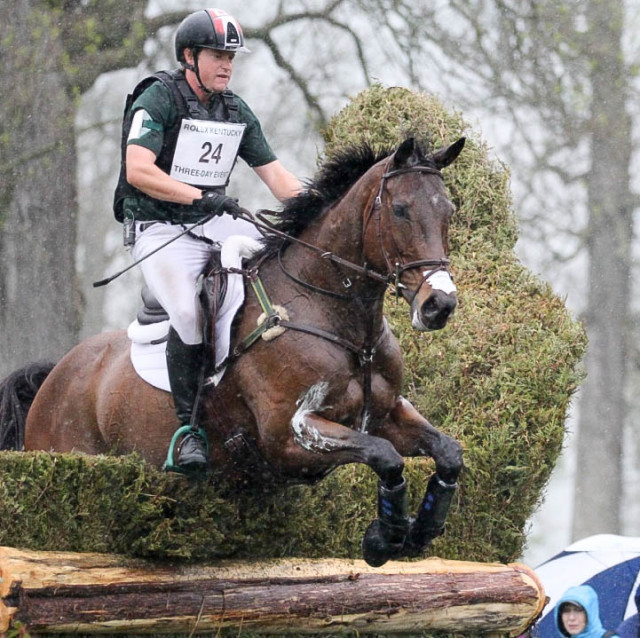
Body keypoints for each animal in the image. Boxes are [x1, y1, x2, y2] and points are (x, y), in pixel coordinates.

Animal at [0, 138, 462, 568]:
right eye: (400, 210)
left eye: (449, 211)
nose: (439, 305)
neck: (338, 319)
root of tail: (55, 376)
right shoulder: (290, 436)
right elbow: (385, 456)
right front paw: (384, 537)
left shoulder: (386, 412)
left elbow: (448, 453)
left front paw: (421, 530)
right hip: (71, 453)